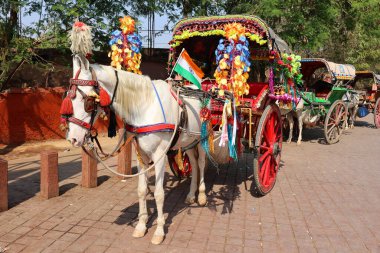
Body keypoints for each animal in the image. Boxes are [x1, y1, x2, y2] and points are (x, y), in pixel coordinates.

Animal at [67, 53, 208, 245]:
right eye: (69, 97)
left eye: (87, 100)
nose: (73, 138)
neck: (146, 106)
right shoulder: (141, 154)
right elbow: (141, 190)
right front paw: (141, 225)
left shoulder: (160, 155)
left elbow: (159, 194)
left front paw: (159, 231)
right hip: (188, 141)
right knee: (192, 161)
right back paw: (191, 194)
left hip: (201, 138)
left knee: (200, 163)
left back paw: (201, 196)